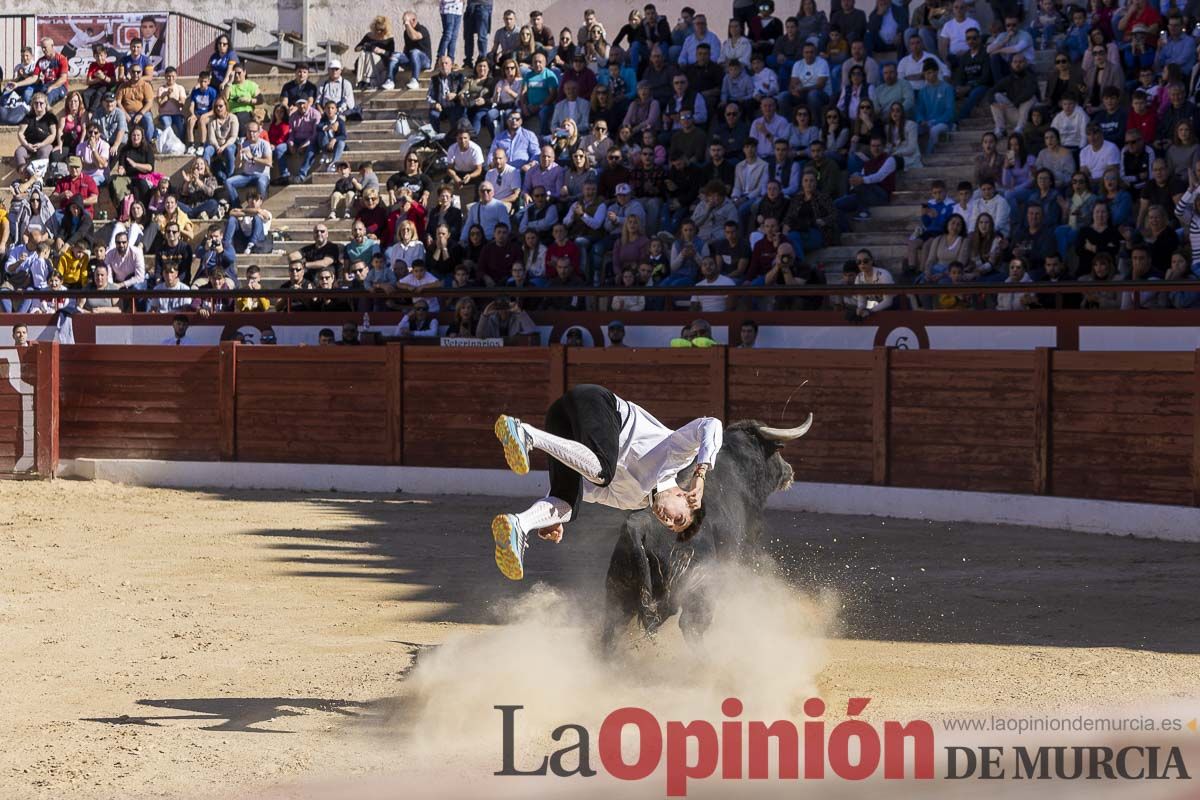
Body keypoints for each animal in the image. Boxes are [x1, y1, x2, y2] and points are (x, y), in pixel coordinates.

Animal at [600, 417, 816, 647]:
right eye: (777, 451)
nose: (789, 470)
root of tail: (639, 526)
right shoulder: (746, 545)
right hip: (697, 586)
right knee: (691, 625)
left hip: (618, 588)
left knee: (612, 628)